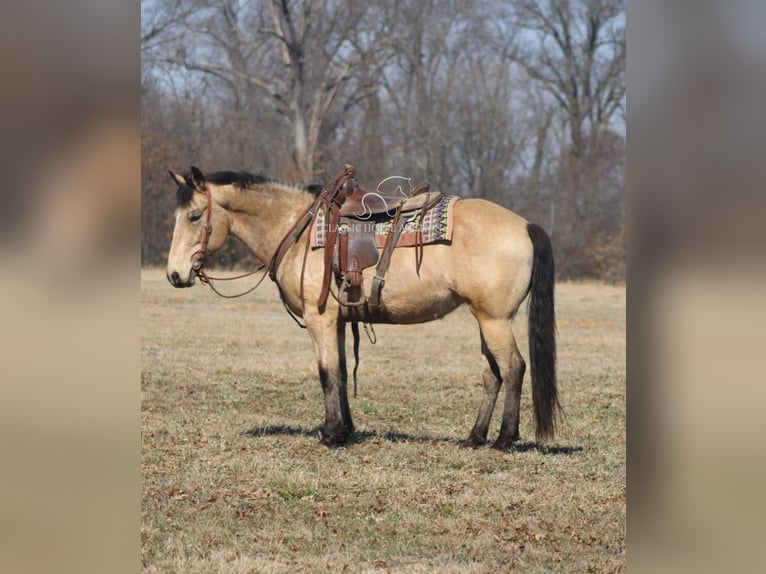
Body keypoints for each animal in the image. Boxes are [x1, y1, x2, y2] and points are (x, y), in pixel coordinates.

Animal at [165, 164, 560, 452]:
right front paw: (346, 430)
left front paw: (329, 434)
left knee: (513, 368)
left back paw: (505, 439)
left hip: (495, 320)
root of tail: (525, 225)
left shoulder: (320, 319)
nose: (175, 274)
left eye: (195, 216)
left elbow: (326, 374)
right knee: (492, 374)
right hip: (485, 319)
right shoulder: (339, 321)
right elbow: (340, 373)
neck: (299, 230)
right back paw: (475, 437)